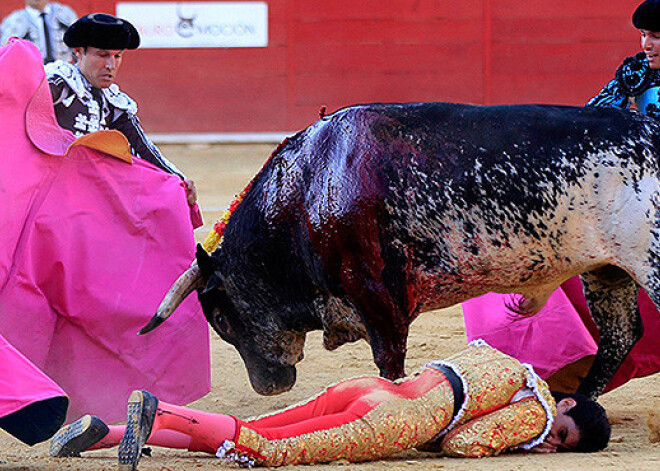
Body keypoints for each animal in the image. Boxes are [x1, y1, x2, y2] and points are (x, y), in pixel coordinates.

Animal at [139, 102, 660, 398]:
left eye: (220, 318)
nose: (269, 387)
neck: (309, 186)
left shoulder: (374, 291)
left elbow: (389, 361)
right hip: (607, 270)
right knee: (618, 338)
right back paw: (579, 403)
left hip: (648, 263)